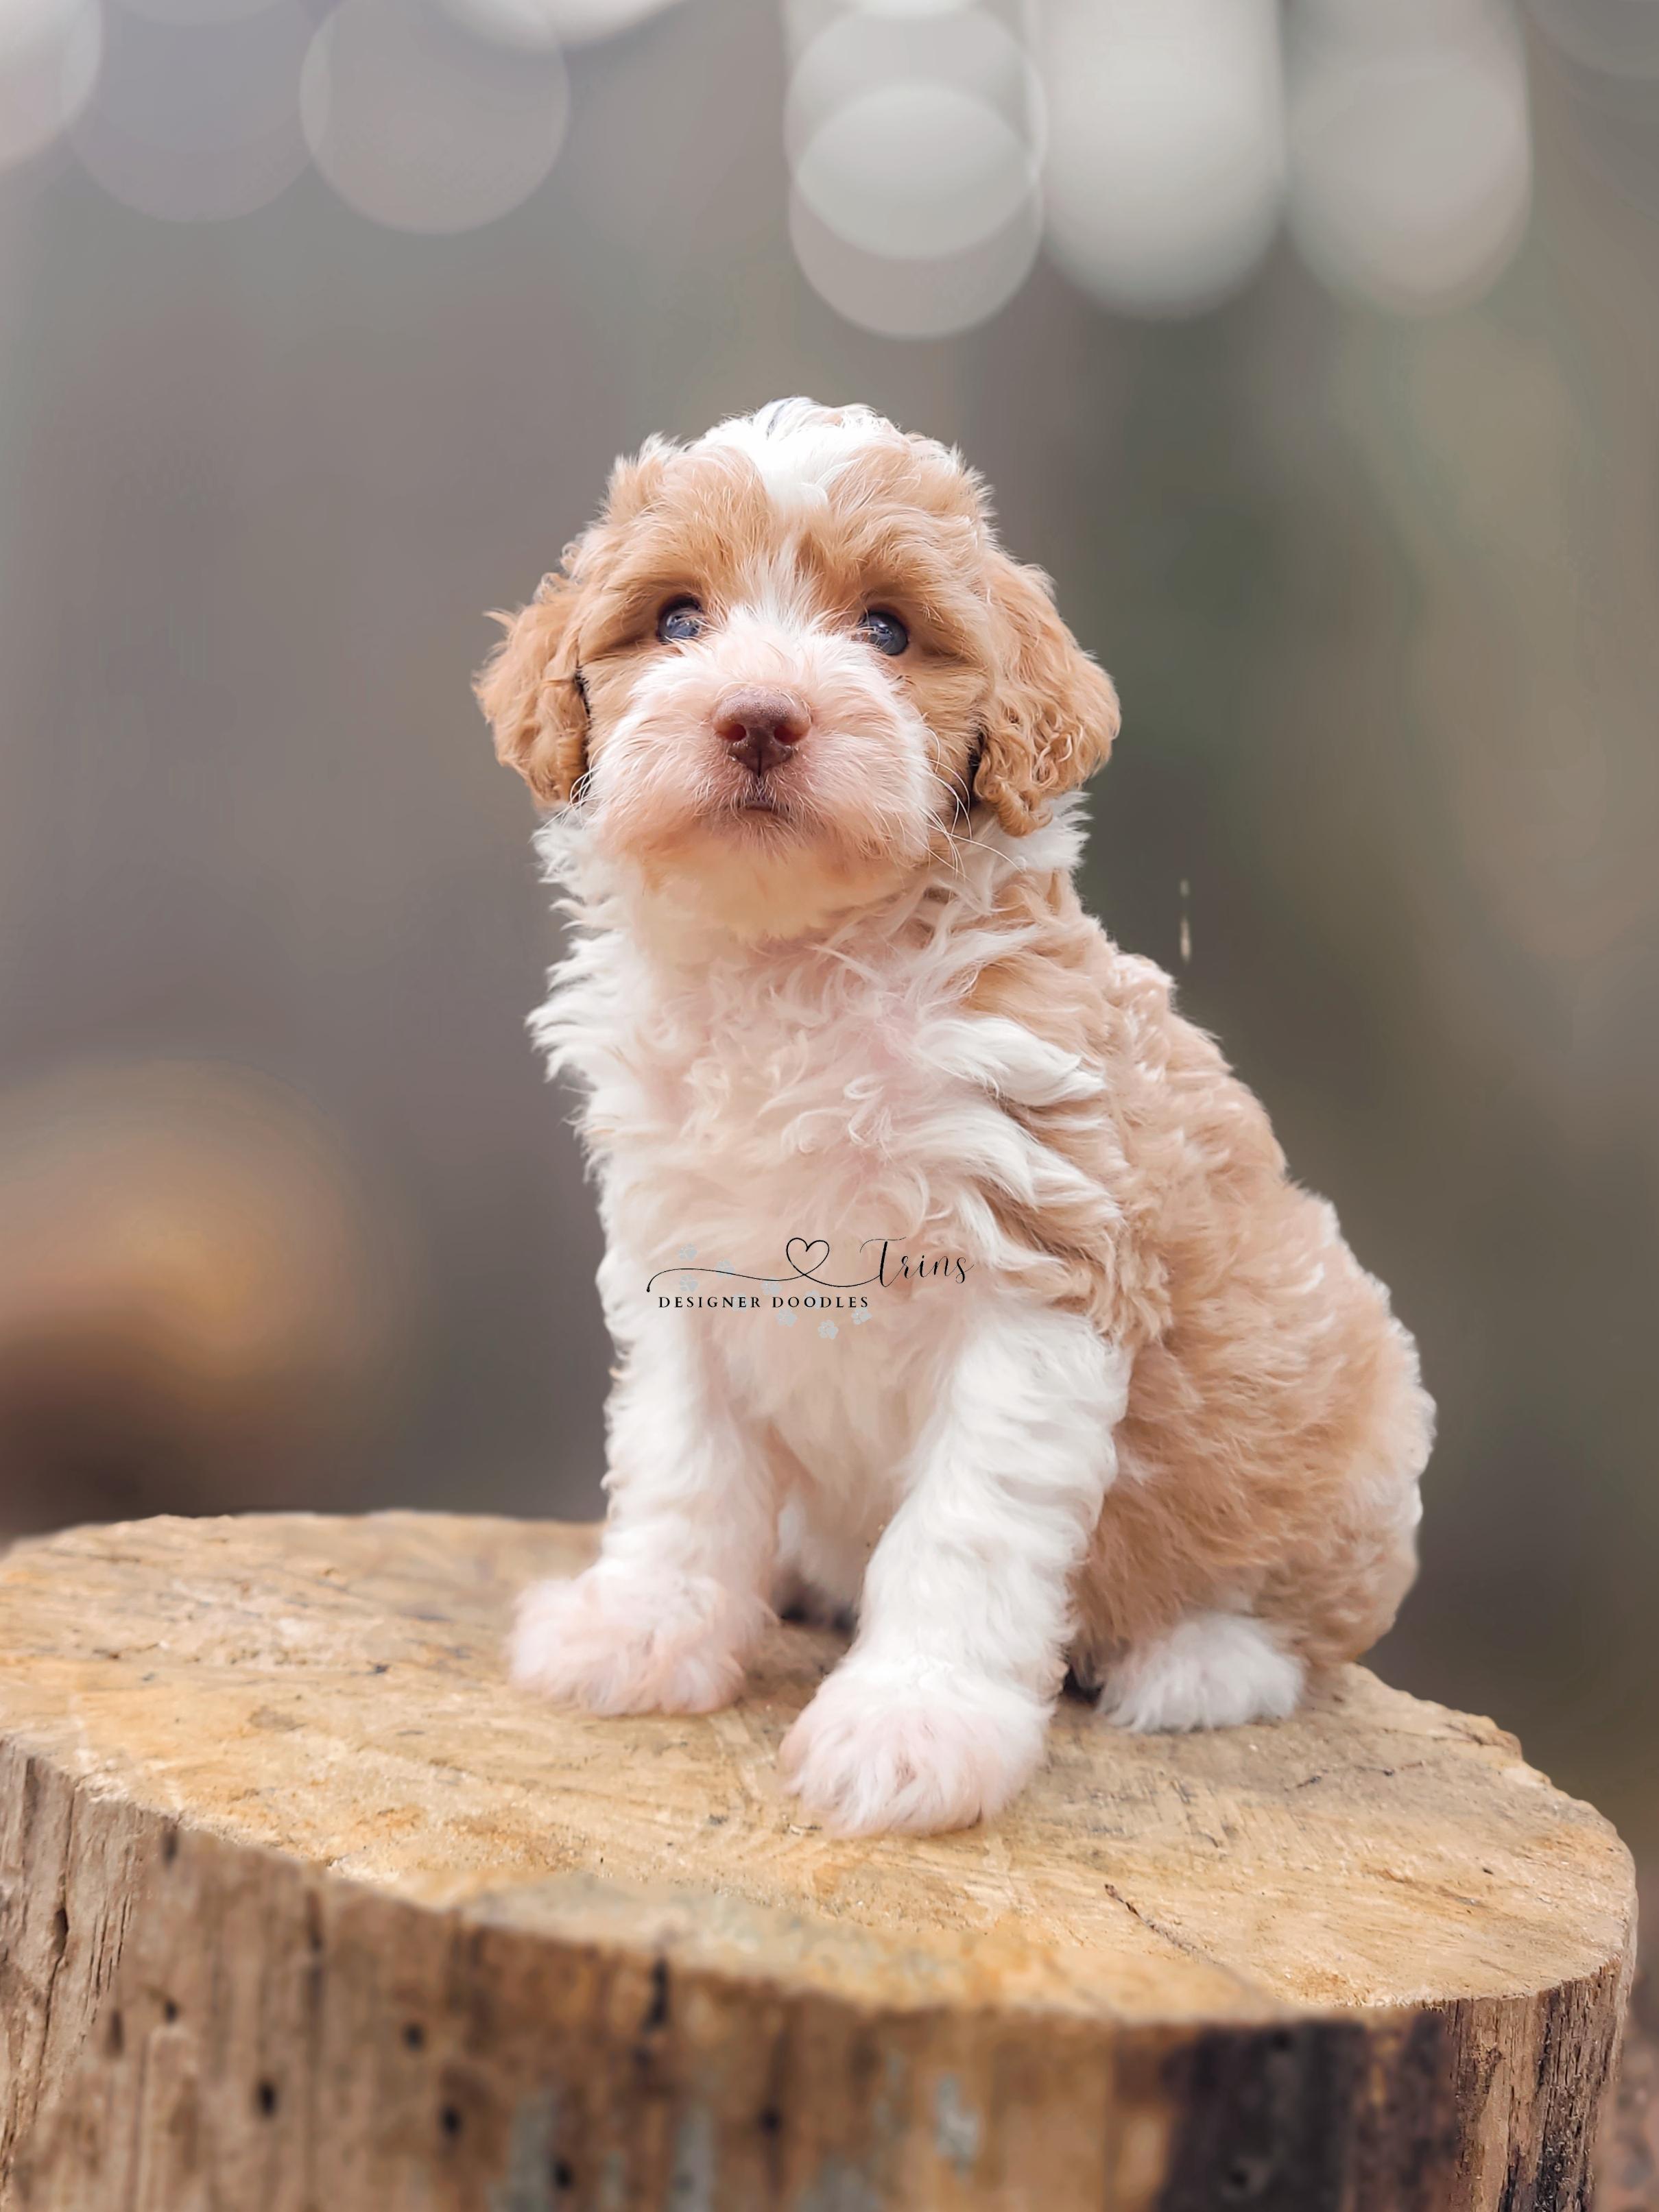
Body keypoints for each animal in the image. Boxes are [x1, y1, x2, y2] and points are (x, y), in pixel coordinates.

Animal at [477, 399, 1433, 1837]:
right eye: (676, 620)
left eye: (884, 630)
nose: (758, 719)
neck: (797, 966)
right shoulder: (678, 1263)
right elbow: (681, 1465)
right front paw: (642, 1630)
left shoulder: (1038, 1269)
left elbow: (962, 1524)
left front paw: (909, 1727)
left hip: (1354, 1424)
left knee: (1302, 1616)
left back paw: (1199, 1662)